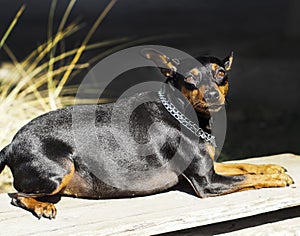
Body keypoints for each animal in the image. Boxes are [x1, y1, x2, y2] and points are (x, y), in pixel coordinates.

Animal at [0, 48, 292, 219]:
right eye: (189, 78)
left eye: (221, 73)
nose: (212, 95)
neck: (185, 114)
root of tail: (10, 146)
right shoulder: (207, 182)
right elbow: (246, 177)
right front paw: (277, 179)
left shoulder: (211, 168)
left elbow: (242, 165)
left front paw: (273, 168)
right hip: (60, 169)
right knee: (17, 195)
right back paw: (43, 206)